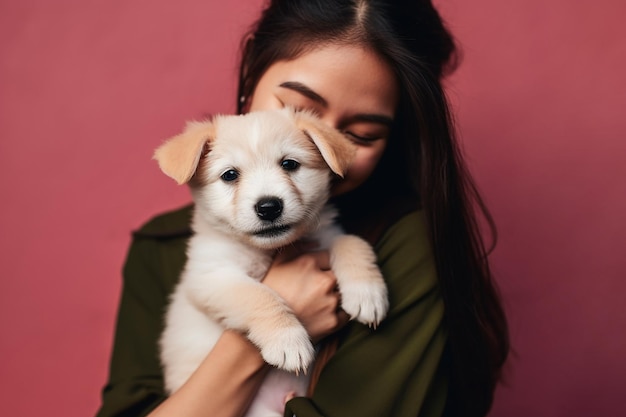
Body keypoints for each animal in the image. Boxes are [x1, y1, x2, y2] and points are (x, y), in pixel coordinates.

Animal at [152, 108, 386, 416]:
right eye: (230, 175)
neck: (269, 250)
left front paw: (367, 292)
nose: (268, 207)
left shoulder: (325, 235)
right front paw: (287, 339)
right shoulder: (211, 277)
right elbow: (260, 296)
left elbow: (351, 242)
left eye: (289, 164)